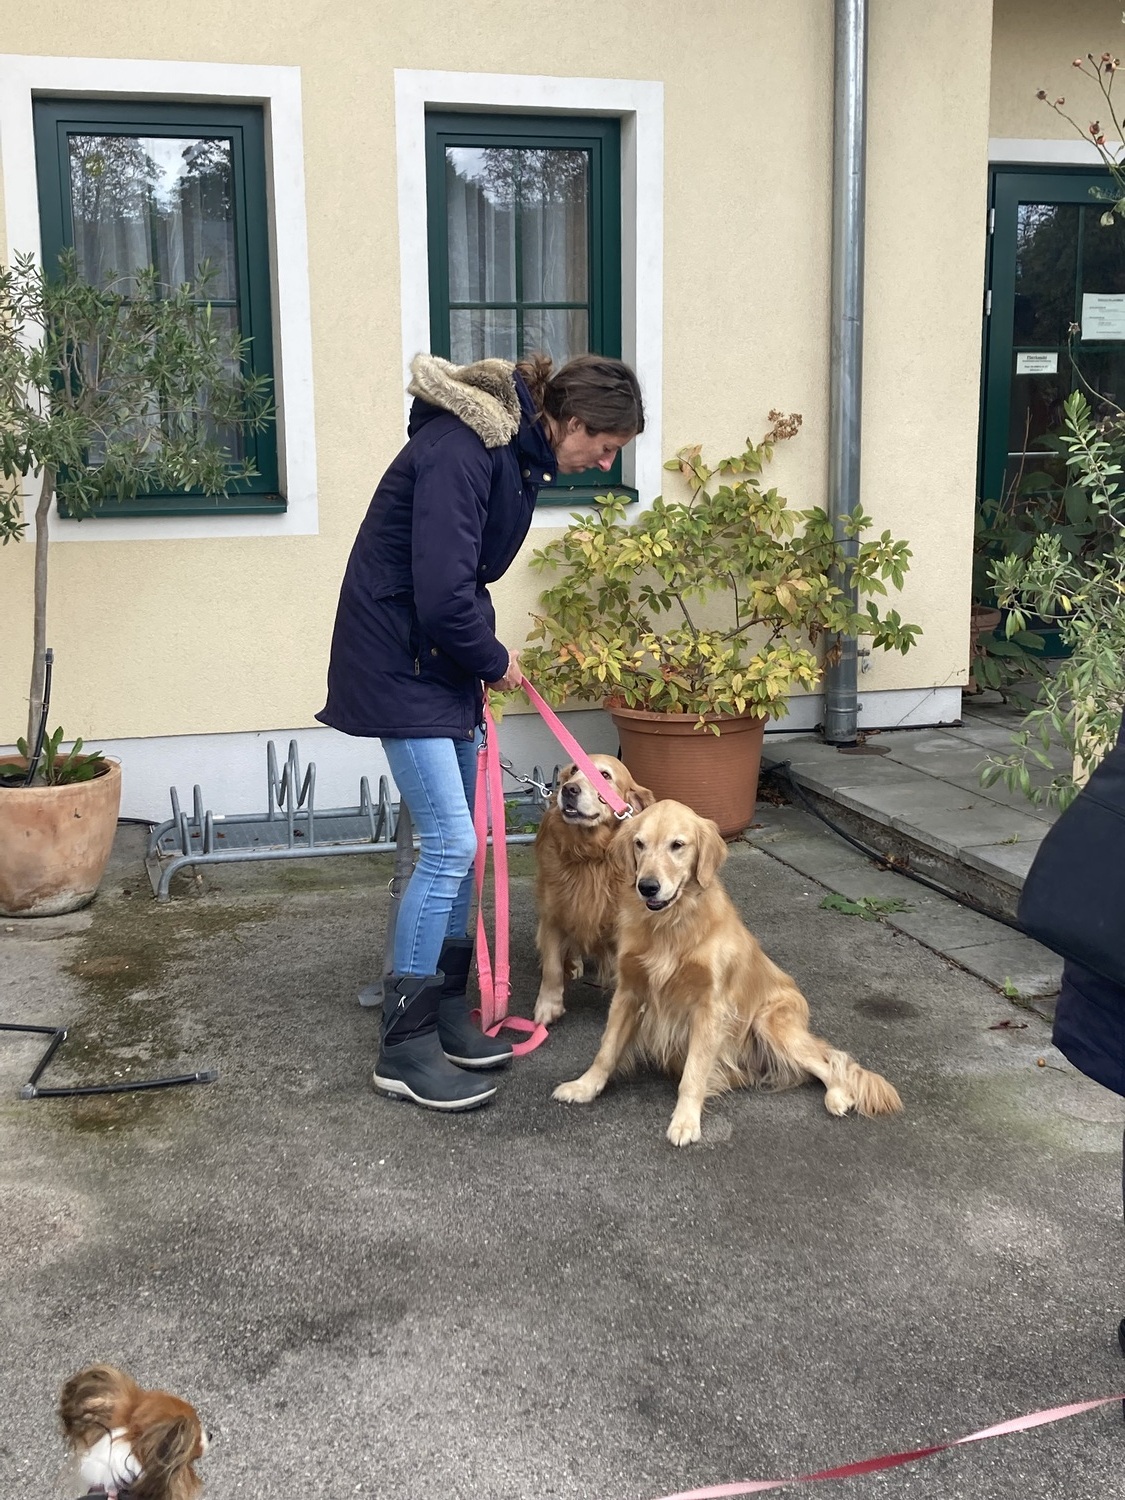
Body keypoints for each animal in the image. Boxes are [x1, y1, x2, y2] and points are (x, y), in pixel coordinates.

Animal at [532, 754, 654, 1026]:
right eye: (573, 771)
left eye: (605, 776)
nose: (569, 789)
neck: (592, 856)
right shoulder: (553, 914)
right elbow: (552, 968)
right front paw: (548, 1006)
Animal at [553, 799, 903, 1145]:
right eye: (639, 844)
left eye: (677, 845)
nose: (647, 887)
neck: (671, 925)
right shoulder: (629, 992)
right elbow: (606, 1050)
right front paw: (584, 1087)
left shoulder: (710, 1008)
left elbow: (693, 1073)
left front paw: (685, 1121)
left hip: (769, 1023)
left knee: (831, 1062)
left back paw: (839, 1096)